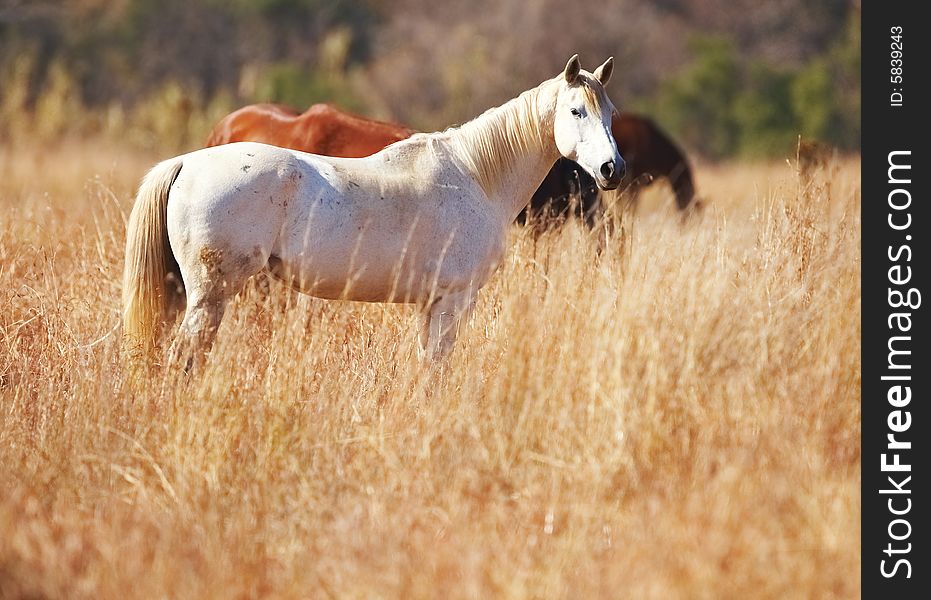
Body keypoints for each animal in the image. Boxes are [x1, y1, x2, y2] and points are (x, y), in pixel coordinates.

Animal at [120, 56, 624, 366]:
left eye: (612, 113)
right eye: (577, 111)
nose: (611, 169)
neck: (476, 174)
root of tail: (187, 162)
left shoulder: (431, 306)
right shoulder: (453, 302)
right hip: (211, 295)